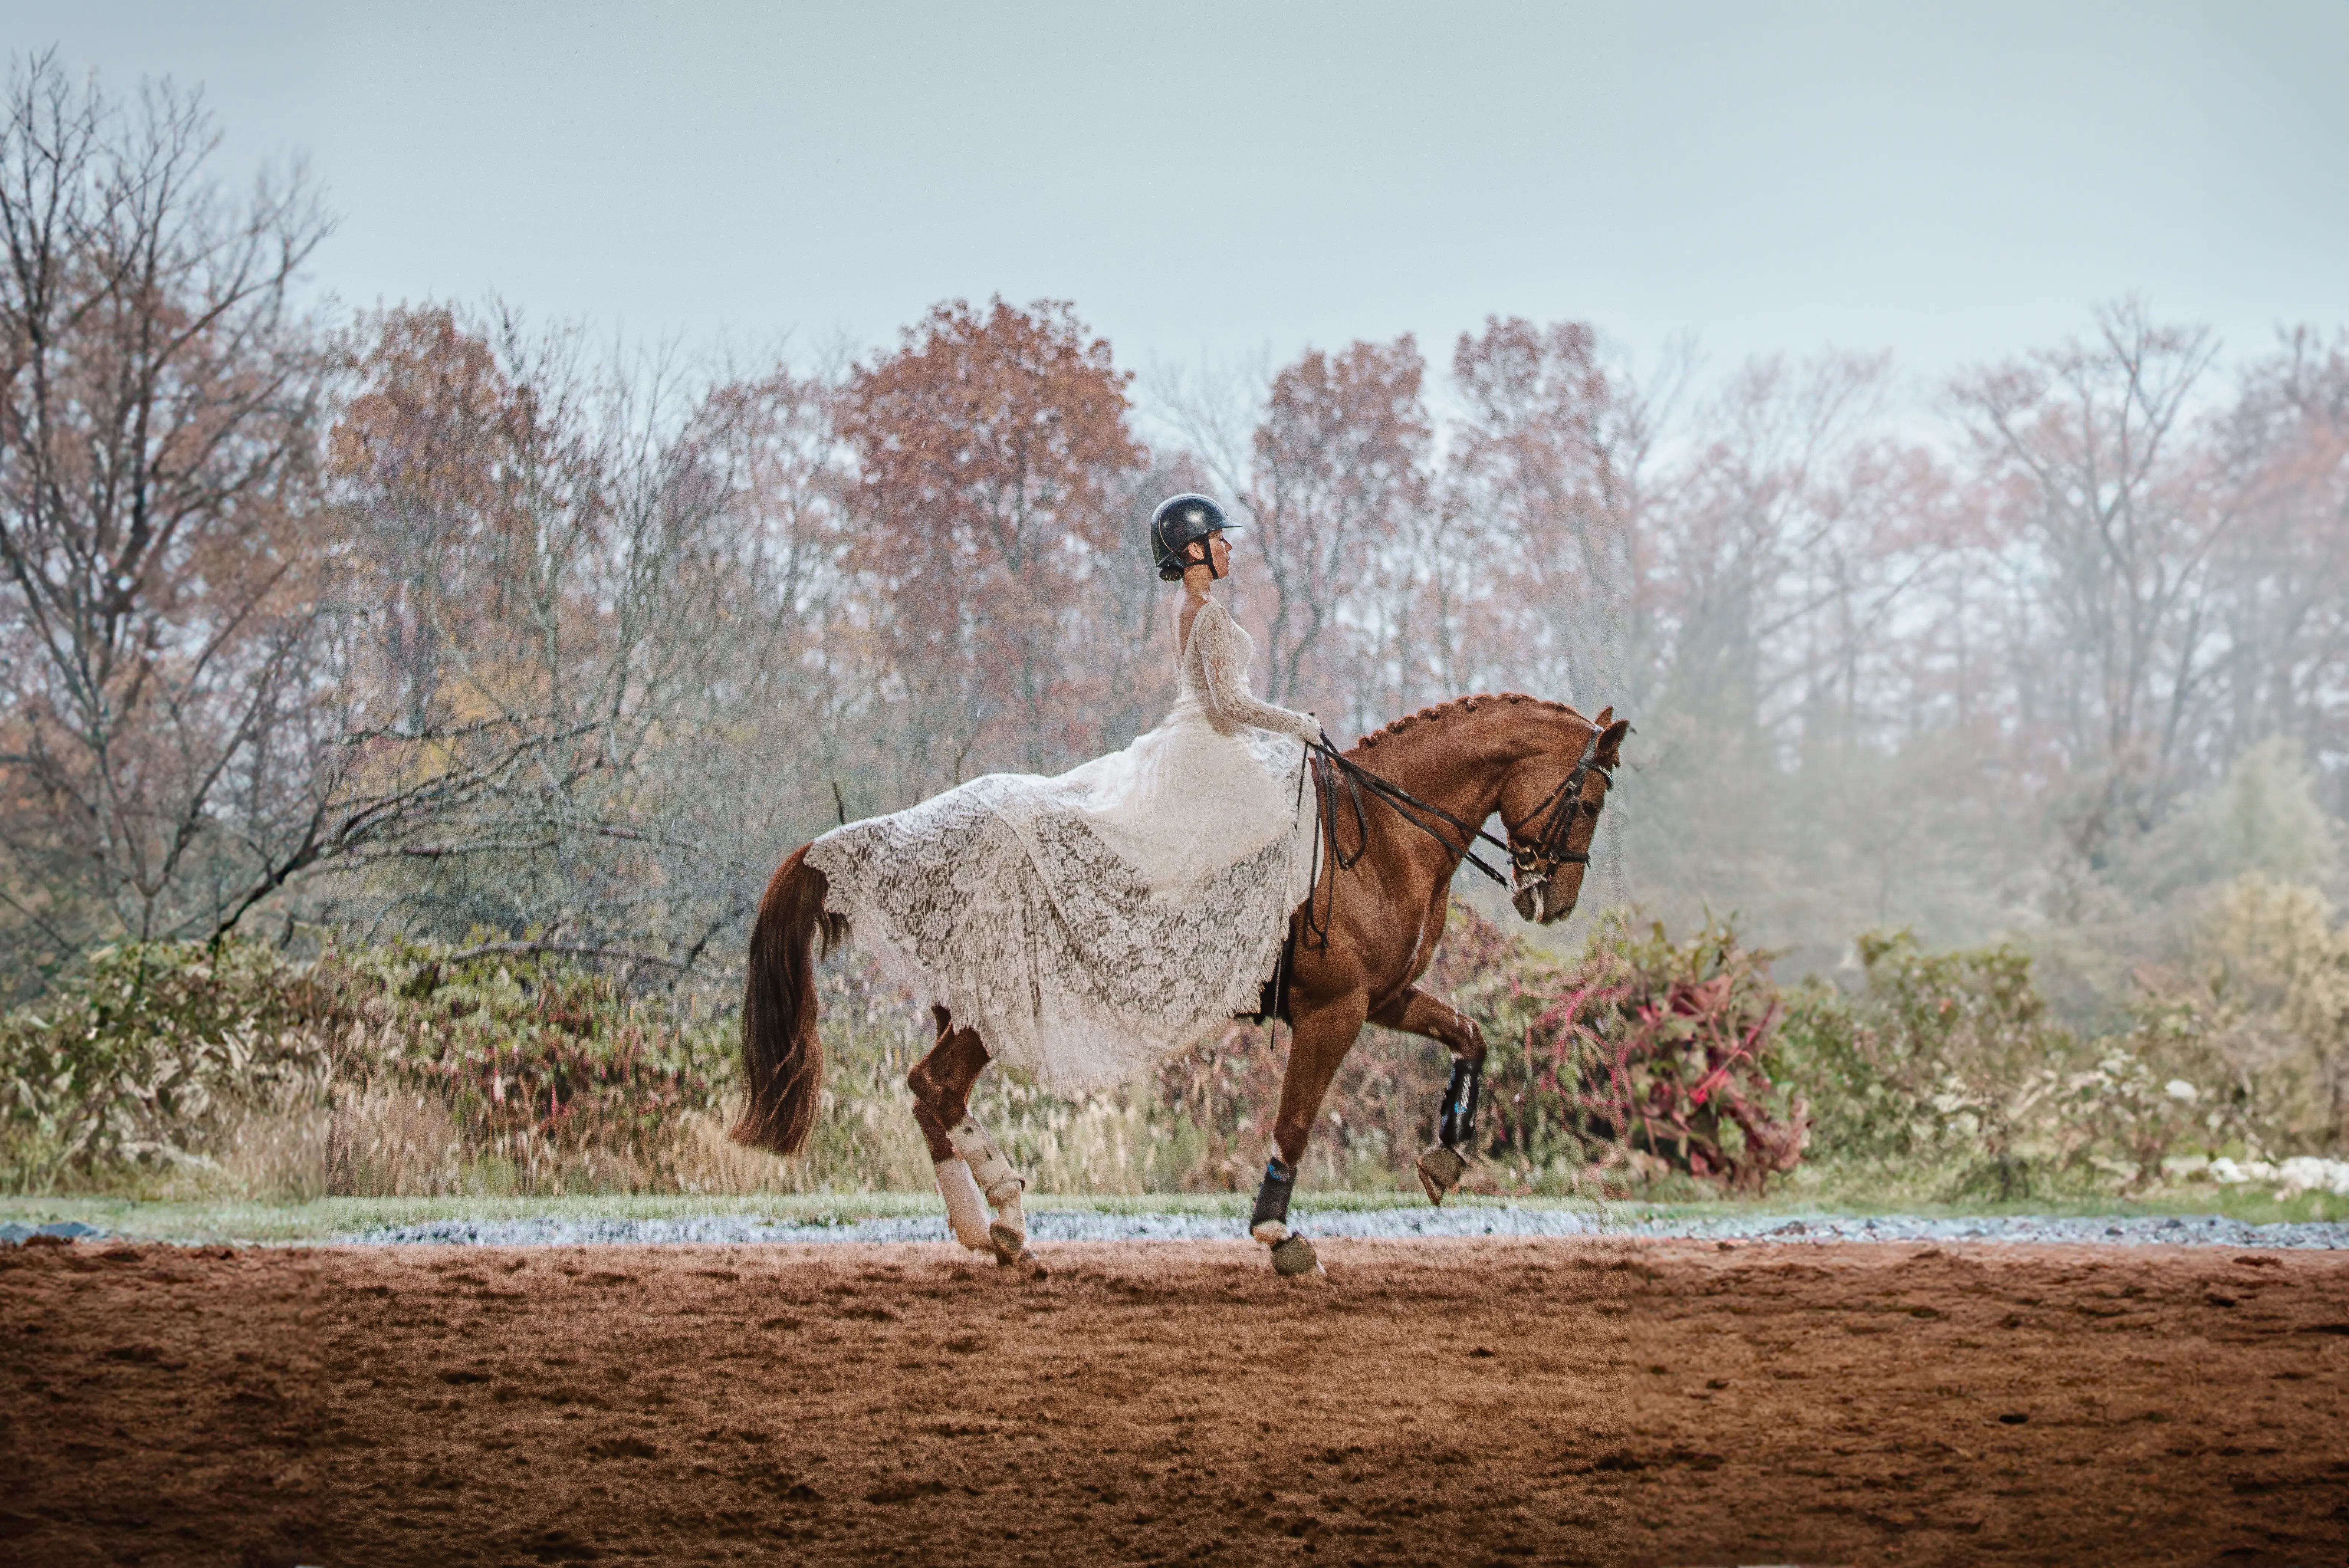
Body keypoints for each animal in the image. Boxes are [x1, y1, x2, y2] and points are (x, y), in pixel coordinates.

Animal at [730, 693, 1628, 1273]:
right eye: (1587, 800)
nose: (1553, 900)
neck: (1382, 833)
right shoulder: (1333, 1010)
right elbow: (1296, 1119)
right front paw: (1276, 1233)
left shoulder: (1384, 998)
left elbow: (1471, 1033)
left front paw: (1446, 1151)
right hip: (992, 1010)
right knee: (934, 1086)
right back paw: (999, 1222)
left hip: (969, 1007)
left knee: (929, 1094)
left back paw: (998, 1228)